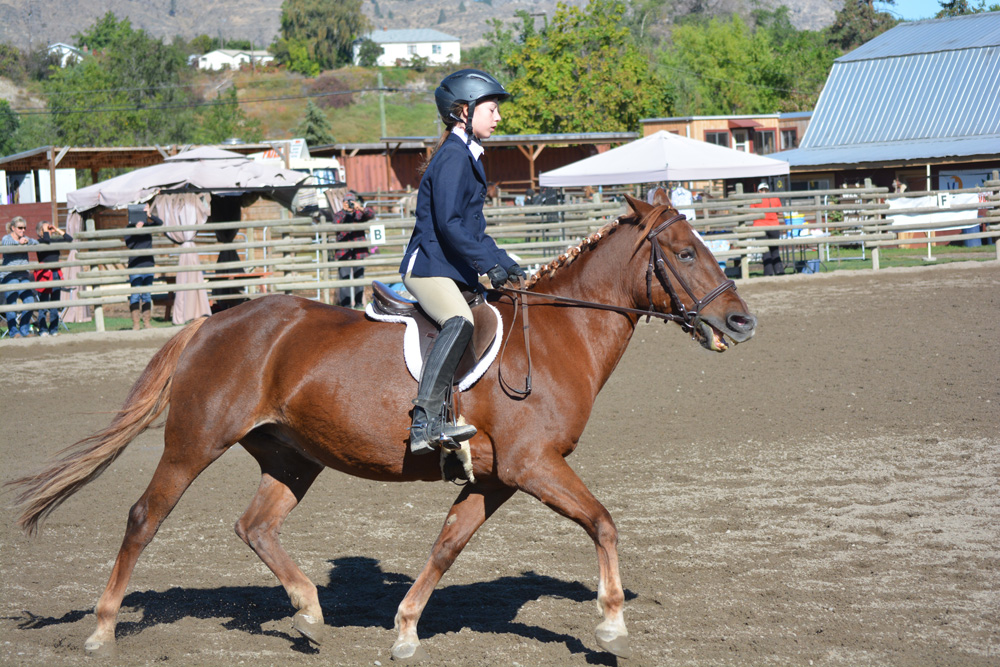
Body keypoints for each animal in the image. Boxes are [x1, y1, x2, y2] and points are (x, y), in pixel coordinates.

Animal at [8, 191, 757, 661]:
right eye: (685, 253)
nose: (742, 320)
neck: (555, 334)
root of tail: (213, 322)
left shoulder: (496, 478)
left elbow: (447, 546)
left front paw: (403, 630)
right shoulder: (533, 465)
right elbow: (602, 521)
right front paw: (612, 621)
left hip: (294, 456)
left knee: (255, 525)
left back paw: (310, 615)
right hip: (195, 442)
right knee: (144, 518)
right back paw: (103, 630)